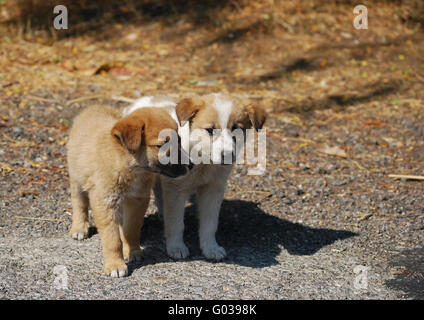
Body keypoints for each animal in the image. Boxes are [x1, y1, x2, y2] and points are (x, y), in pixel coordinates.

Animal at [66, 105, 189, 278]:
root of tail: (94, 107)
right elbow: (112, 239)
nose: (190, 165)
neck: (129, 167)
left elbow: (131, 229)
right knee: (79, 204)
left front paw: (132, 251)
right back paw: (79, 228)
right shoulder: (105, 202)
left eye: (179, 141)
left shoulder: (137, 200)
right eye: (161, 146)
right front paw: (115, 264)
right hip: (77, 178)